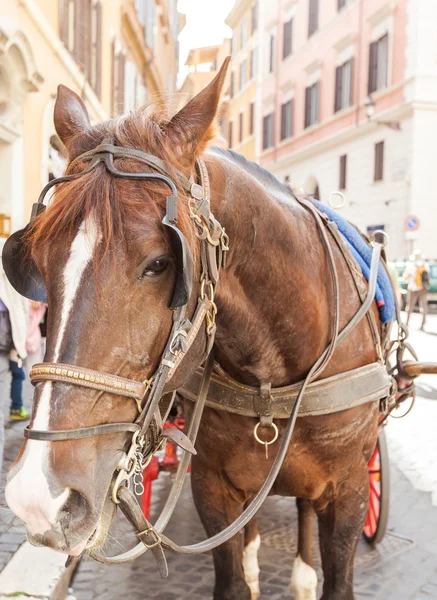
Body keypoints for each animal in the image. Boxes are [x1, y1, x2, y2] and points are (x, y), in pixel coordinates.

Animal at [5, 62, 382, 600]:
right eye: (34, 261)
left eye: (161, 263)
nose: (39, 498)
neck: (272, 377)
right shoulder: (212, 487)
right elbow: (232, 577)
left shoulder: (349, 490)